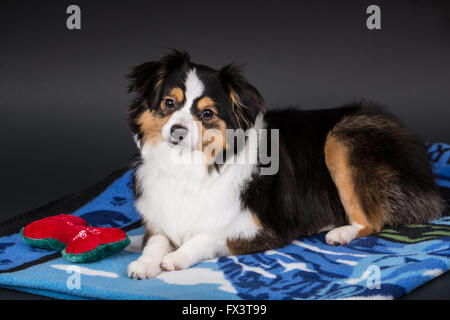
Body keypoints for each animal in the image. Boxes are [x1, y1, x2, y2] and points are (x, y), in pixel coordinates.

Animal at [125, 50, 444, 280]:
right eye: (169, 103)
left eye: (207, 113)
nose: (177, 131)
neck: (190, 167)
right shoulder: (161, 218)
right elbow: (155, 241)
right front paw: (144, 262)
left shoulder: (261, 229)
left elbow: (207, 235)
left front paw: (177, 257)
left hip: (343, 135)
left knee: (372, 221)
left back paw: (340, 232)